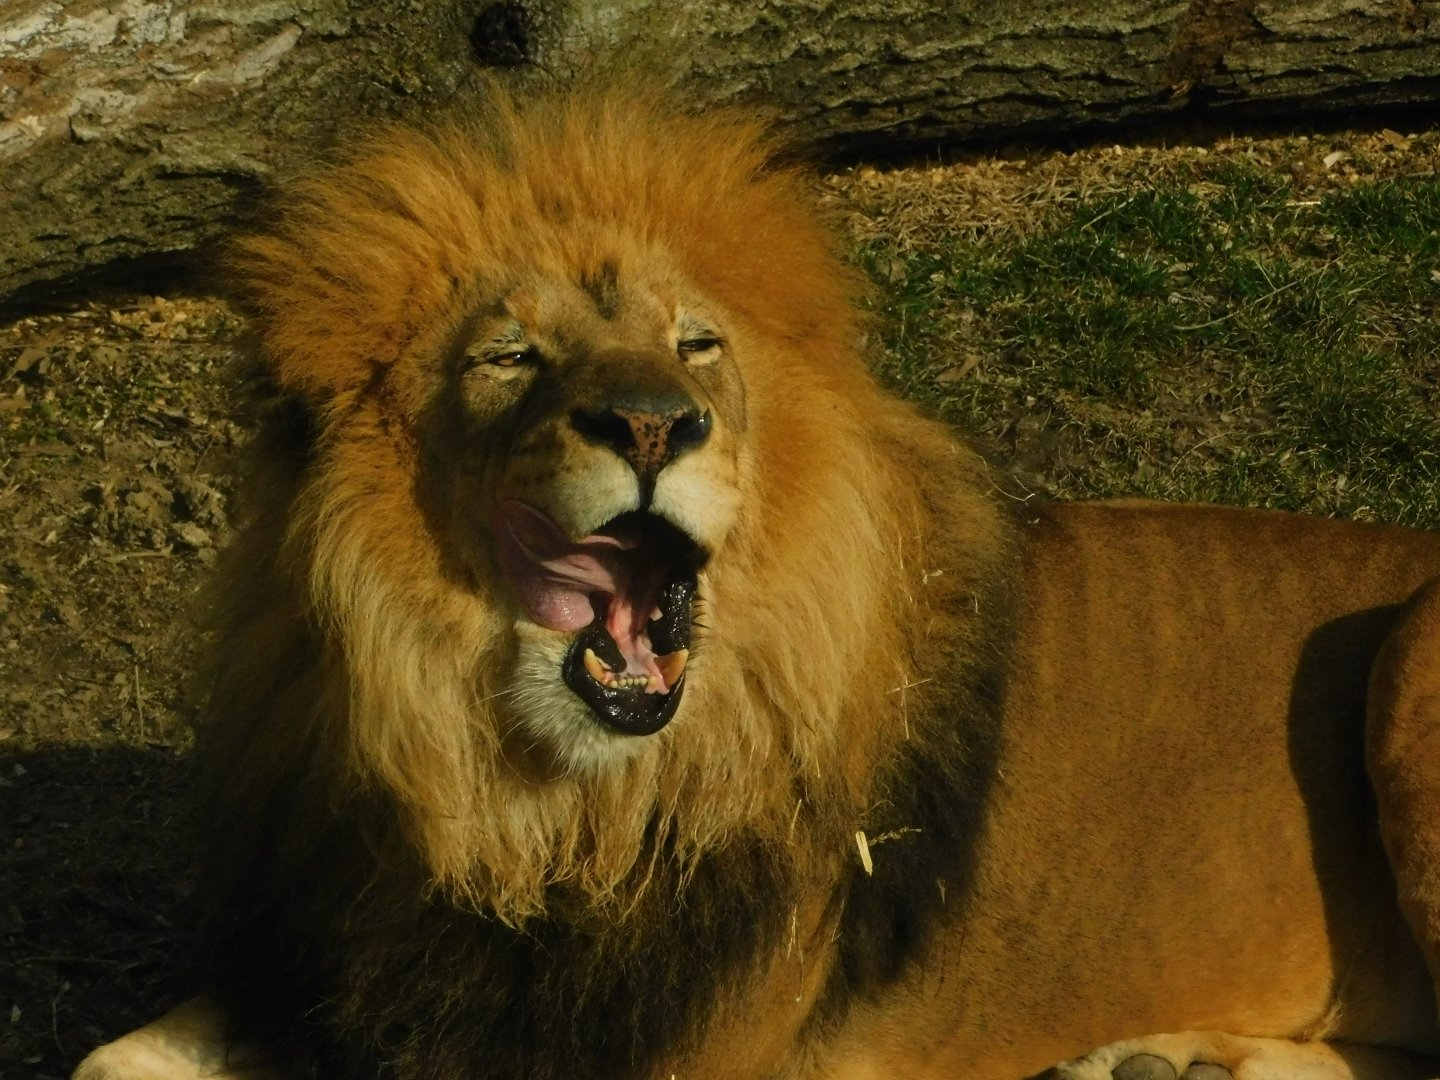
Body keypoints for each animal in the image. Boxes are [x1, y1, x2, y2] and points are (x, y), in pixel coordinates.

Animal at [76, 86, 1440, 1080]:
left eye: (698, 345)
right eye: (509, 355)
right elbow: (108, 1058)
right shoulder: (341, 961)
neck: (535, 805)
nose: (649, 424)